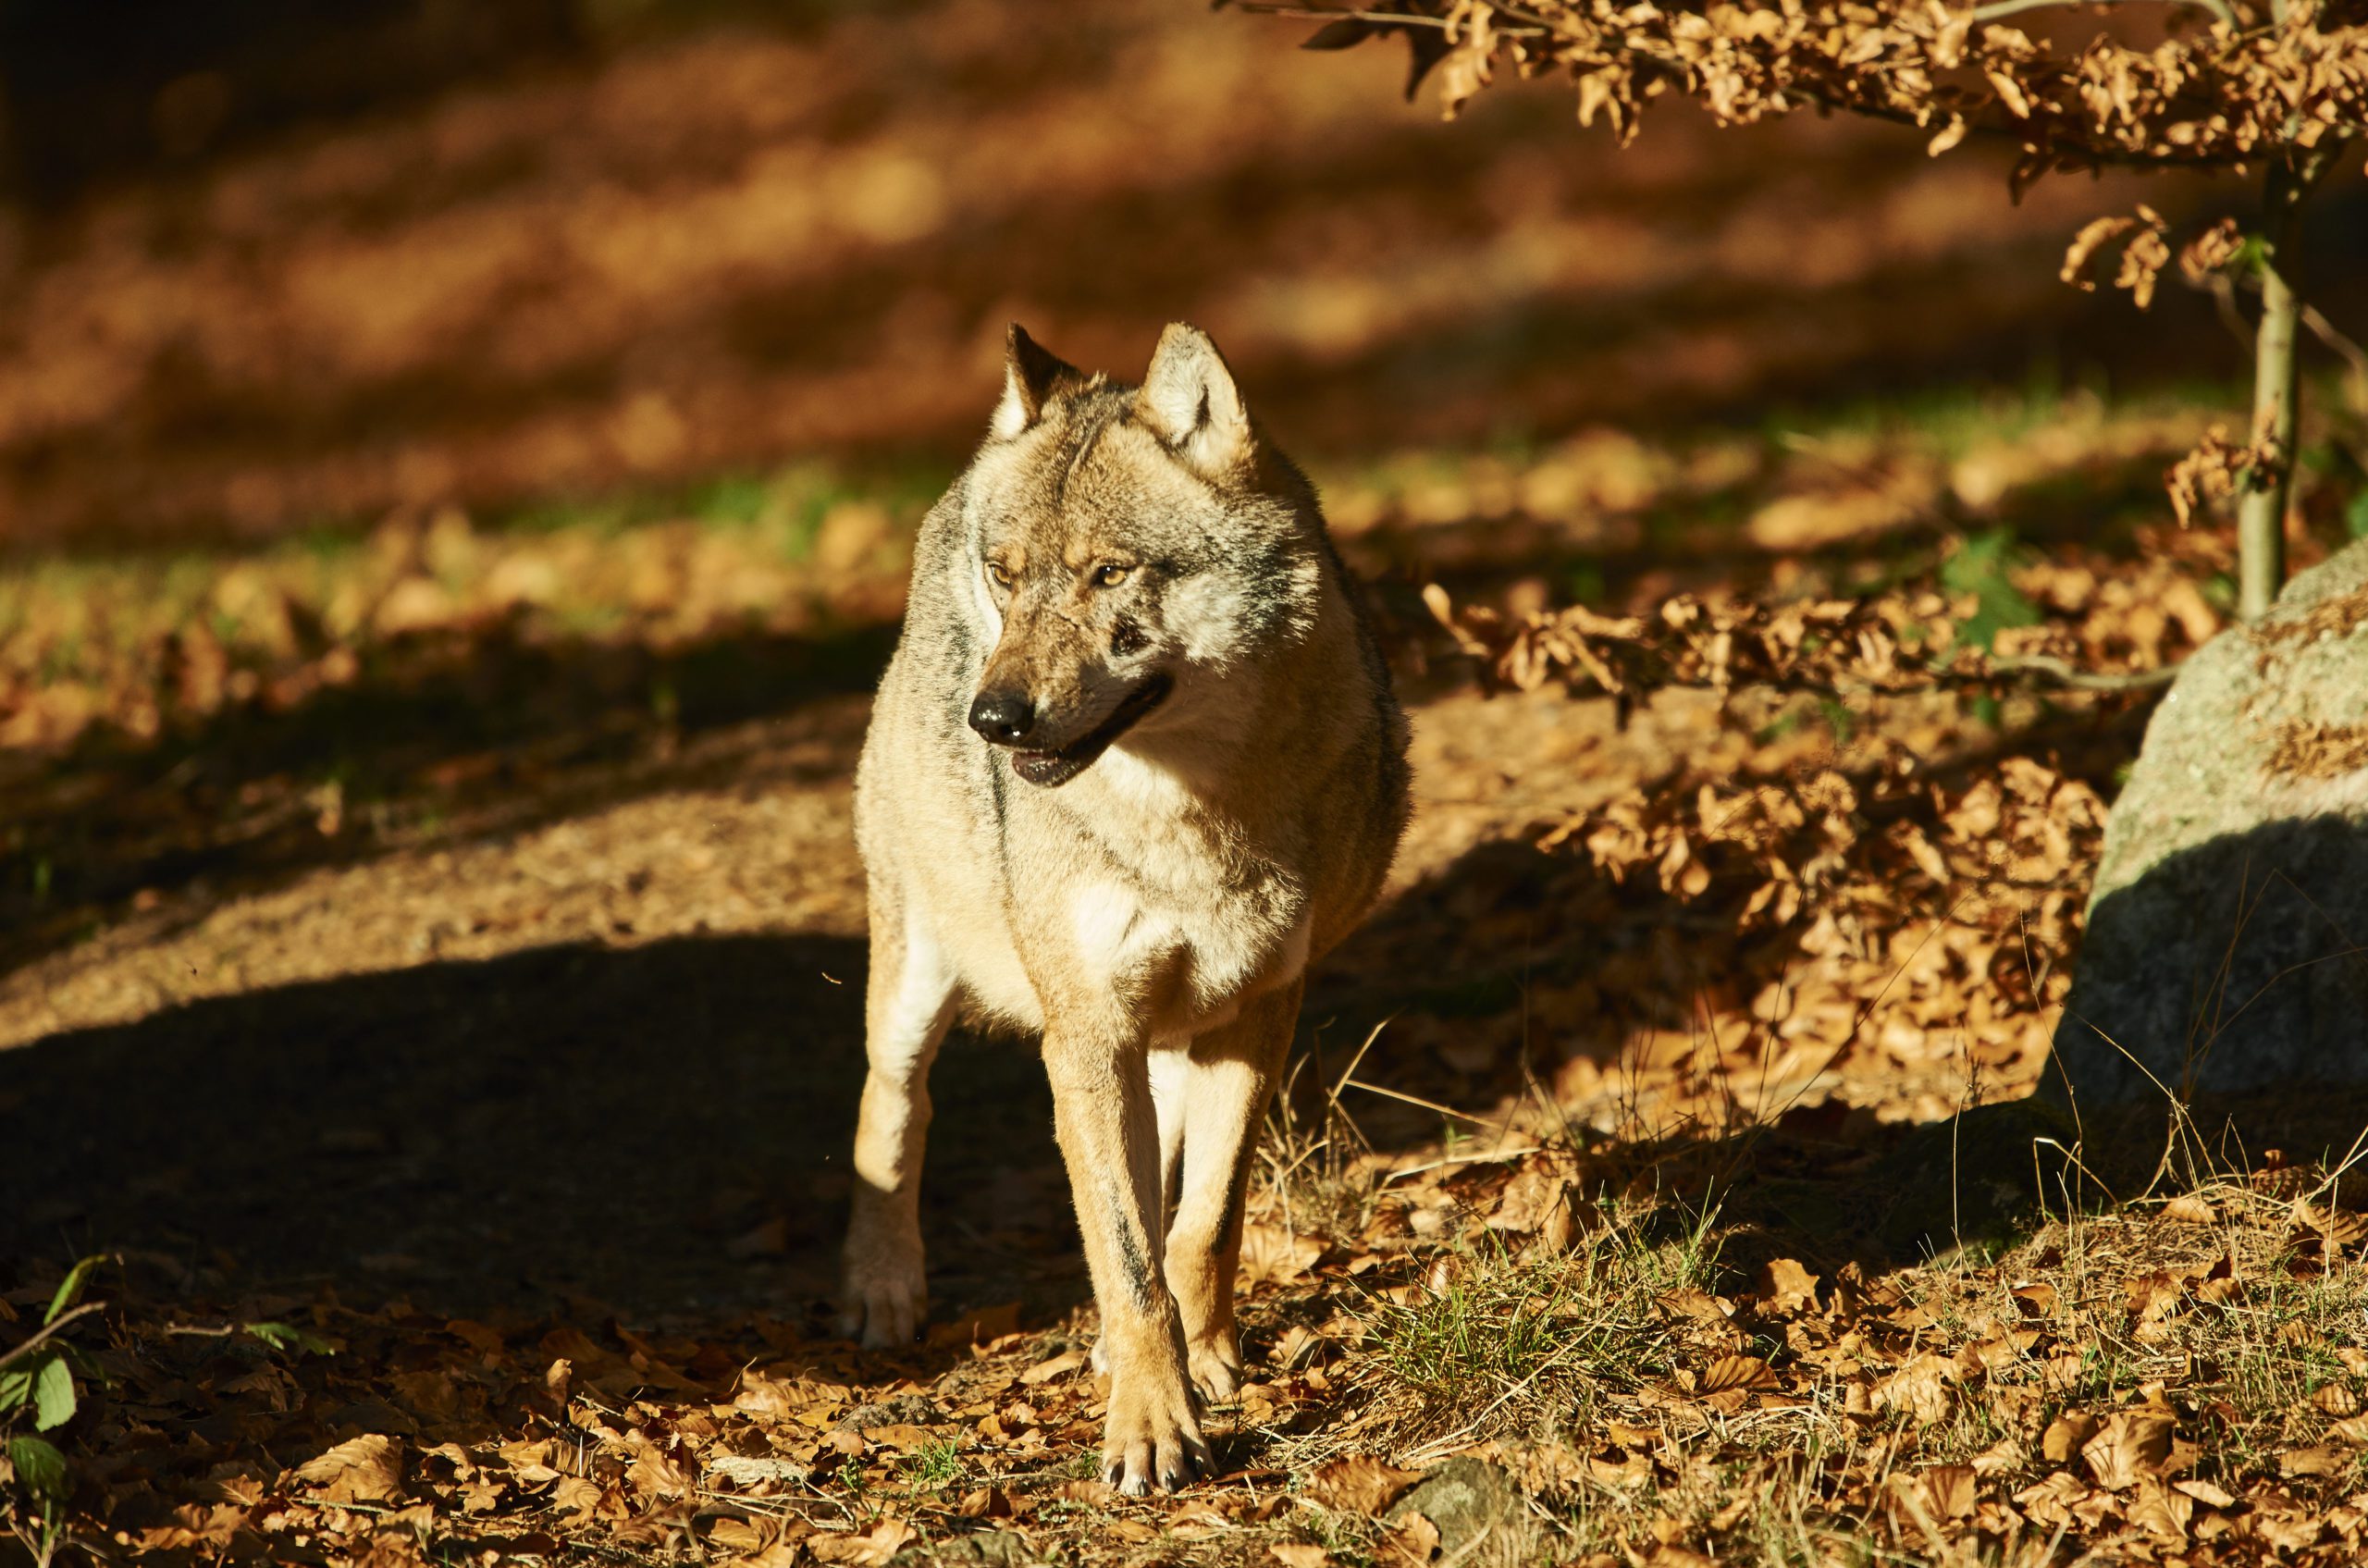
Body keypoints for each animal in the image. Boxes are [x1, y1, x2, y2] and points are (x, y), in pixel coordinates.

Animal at [847, 322, 1411, 1497]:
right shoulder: (1084, 1031)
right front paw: (1151, 1424)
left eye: (1110, 573)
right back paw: (882, 1290)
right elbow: (1123, 1248)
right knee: (893, 1107)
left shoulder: (1258, 1010)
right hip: (920, 976)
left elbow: (1201, 1223)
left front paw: (1206, 1363)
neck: (1193, 819)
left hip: (1167, 1036)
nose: (993, 719)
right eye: (1008, 577)